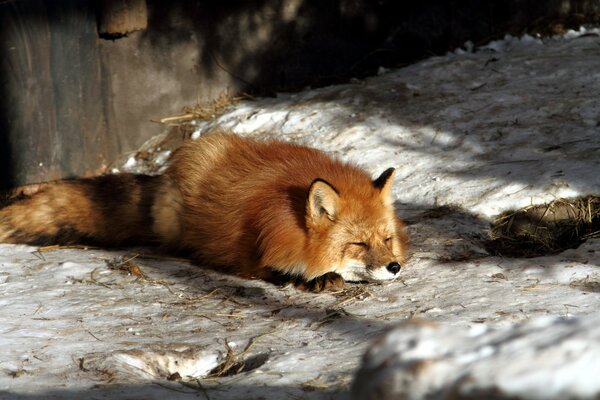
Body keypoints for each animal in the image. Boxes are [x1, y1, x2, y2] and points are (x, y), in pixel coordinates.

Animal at [0, 133, 408, 292]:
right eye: (358, 244)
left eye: (387, 239)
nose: (394, 267)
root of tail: (165, 176)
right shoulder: (254, 252)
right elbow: (275, 269)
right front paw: (315, 278)